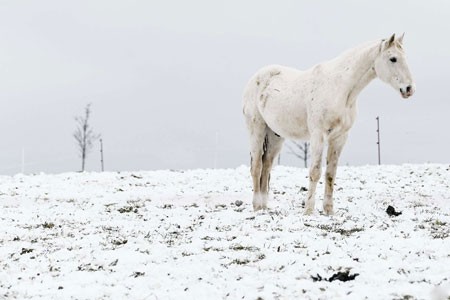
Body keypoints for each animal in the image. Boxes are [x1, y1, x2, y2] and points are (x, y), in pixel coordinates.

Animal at [243, 34, 414, 214]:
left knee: (267, 165)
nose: (409, 88)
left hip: (275, 135)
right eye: (393, 59)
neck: (340, 88)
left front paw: (329, 211)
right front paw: (308, 211)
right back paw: (256, 206)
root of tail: (255, 79)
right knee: (257, 167)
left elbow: (331, 173)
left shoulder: (339, 137)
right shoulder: (318, 135)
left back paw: (263, 207)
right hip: (257, 130)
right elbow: (315, 172)